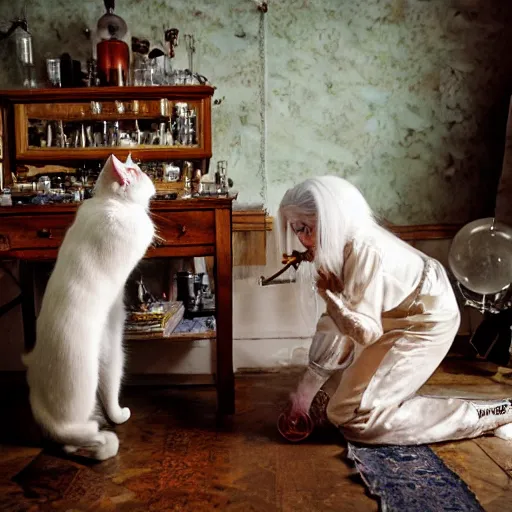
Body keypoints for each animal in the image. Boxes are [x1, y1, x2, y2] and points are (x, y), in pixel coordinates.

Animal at [21, 155, 156, 460]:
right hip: (86, 380)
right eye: (138, 171)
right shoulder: (141, 232)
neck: (108, 201)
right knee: (75, 432)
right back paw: (102, 440)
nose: (151, 177)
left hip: (113, 359)